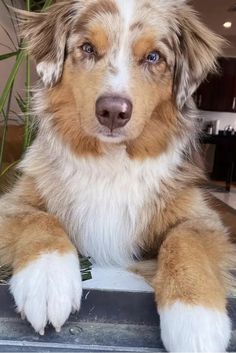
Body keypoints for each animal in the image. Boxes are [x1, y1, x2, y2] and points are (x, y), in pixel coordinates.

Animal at [0, 0, 235, 350]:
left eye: (153, 57)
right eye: (87, 48)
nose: (113, 112)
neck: (111, 161)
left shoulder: (204, 219)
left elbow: (185, 240)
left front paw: (196, 320)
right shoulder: (12, 201)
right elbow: (40, 219)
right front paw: (48, 278)